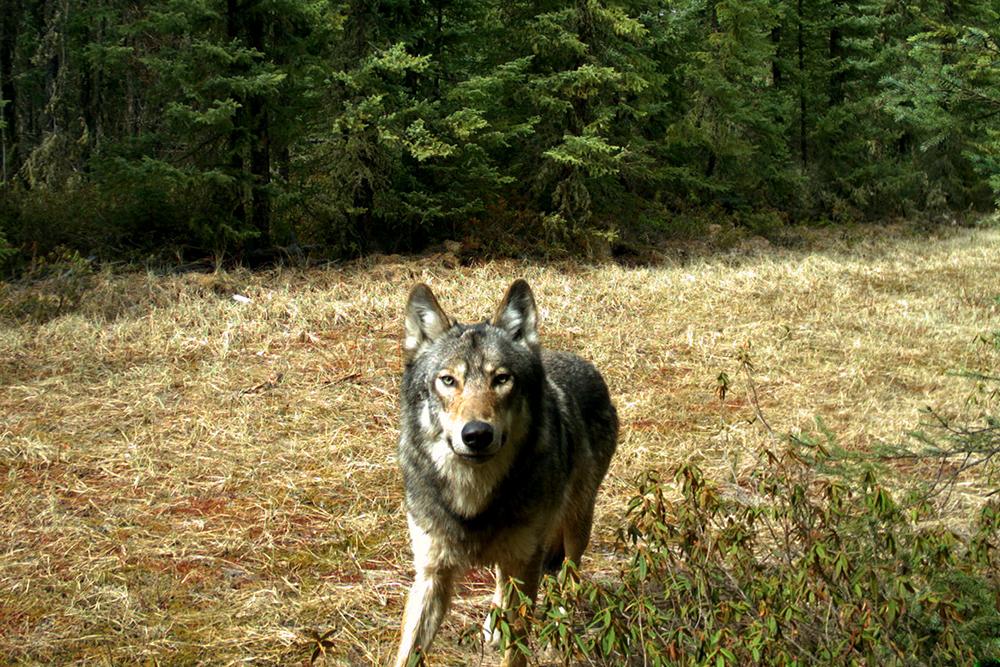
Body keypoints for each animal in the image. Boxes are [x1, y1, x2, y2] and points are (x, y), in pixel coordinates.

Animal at [393, 279, 618, 667]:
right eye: (447, 380)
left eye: (501, 379)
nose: (476, 434)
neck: (473, 499)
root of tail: (581, 362)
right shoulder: (431, 573)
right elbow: (408, 653)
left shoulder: (525, 563)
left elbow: (517, 650)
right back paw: (494, 624)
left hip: (576, 525)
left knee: (570, 576)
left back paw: (561, 624)